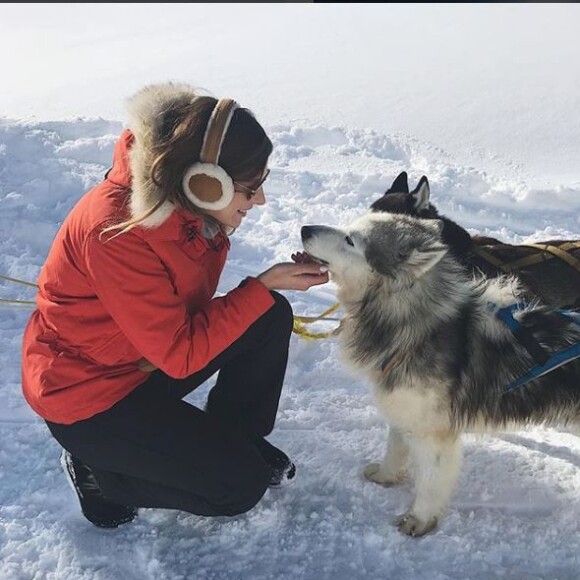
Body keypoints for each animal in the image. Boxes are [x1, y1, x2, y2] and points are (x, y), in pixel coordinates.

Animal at [302, 211, 580, 536]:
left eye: (350, 240)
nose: (304, 229)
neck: (412, 324)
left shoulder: (432, 433)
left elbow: (430, 483)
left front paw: (419, 520)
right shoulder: (405, 410)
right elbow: (394, 448)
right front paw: (385, 476)